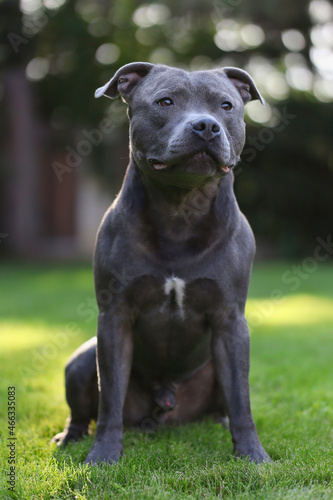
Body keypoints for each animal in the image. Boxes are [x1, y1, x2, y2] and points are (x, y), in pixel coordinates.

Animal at [52, 62, 270, 464]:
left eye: (226, 105)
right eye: (165, 102)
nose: (206, 126)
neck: (180, 211)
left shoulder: (230, 321)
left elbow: (241, 399)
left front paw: (253, 455)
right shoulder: (115, 317)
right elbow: (110, 398)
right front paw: (104, 455)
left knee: (225, 403)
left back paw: (220, 424)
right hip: (82, 360)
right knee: (83, 410)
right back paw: (70, 437)